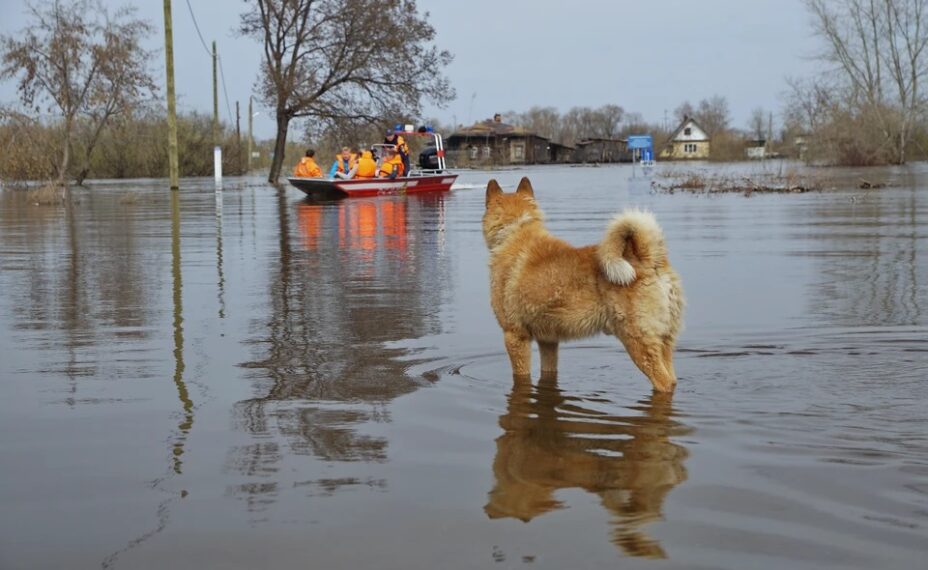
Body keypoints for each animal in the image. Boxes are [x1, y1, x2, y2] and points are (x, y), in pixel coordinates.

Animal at [482, 178, 684, 390]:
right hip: (664, 342)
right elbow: (548, 369)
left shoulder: (515, 336)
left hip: (638, 343)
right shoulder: (548, 340)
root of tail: (649, 259)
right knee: (672, 379)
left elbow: (521, 377)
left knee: (664, 382)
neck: (515, 231)